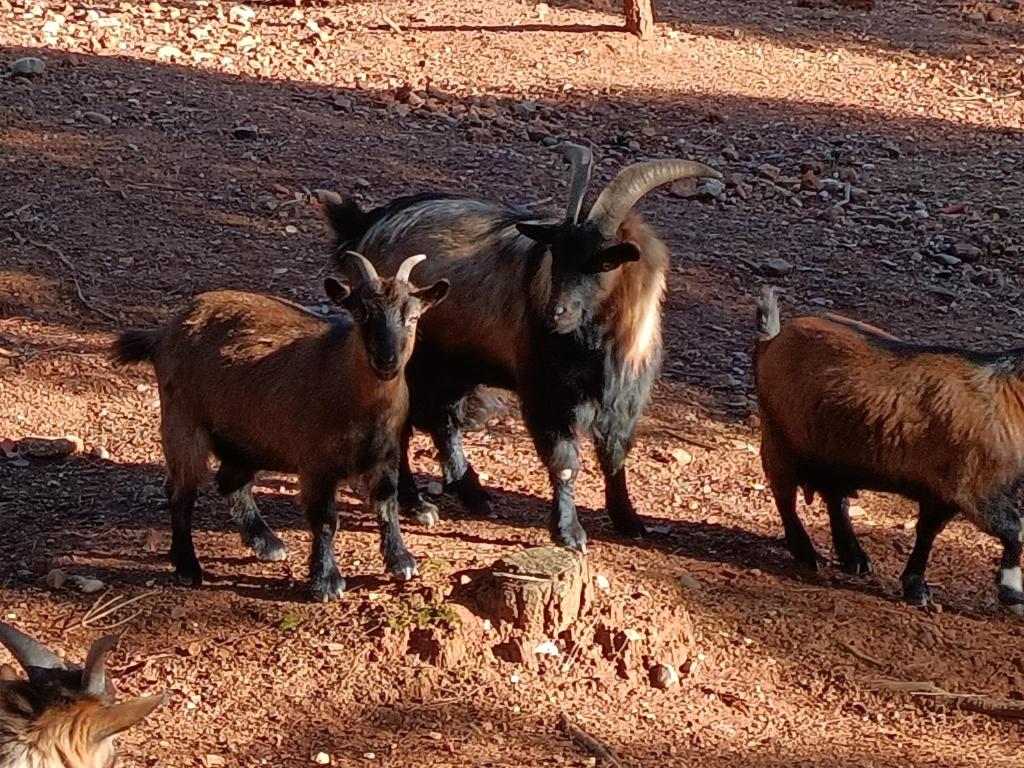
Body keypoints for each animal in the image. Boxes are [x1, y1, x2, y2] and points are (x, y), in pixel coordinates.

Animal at [112, 252, 448, 602]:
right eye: (360, 314)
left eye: (412, 317)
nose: (386, 361)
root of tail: (163, 334)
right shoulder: (316, 463)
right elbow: (325, 520)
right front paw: (326, 581)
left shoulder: (385, 456)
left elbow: (386, 504)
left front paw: (401, 561)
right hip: (183, 424)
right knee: (181, 492)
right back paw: (188, 566)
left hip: (245, 437)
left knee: (230, 481)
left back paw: (265, 541)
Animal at [319, 144, 720, 552]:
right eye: (555, 253)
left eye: (601, 262)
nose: (555, 313)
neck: (598, 343)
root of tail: (363, 225)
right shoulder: (547, 394)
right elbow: (565, 462)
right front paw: (569, 532)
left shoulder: (623, 398)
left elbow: (614, 456)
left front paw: (628, 520)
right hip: (409, 360)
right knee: (406, 425)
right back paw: (417, 503)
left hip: (454, 366)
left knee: (441, 420)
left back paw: (473, 495)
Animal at [753, 286, 1024, 618]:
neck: (1012, 396)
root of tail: (771, 341)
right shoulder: (971, 487)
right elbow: (1014, 529)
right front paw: (1013, 594)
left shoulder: (941, 492)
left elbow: (927, 533)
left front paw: (916, 587)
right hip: (779, 441)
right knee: (785, 498)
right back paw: (806, 553)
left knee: (835, 499)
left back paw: (854, 557)